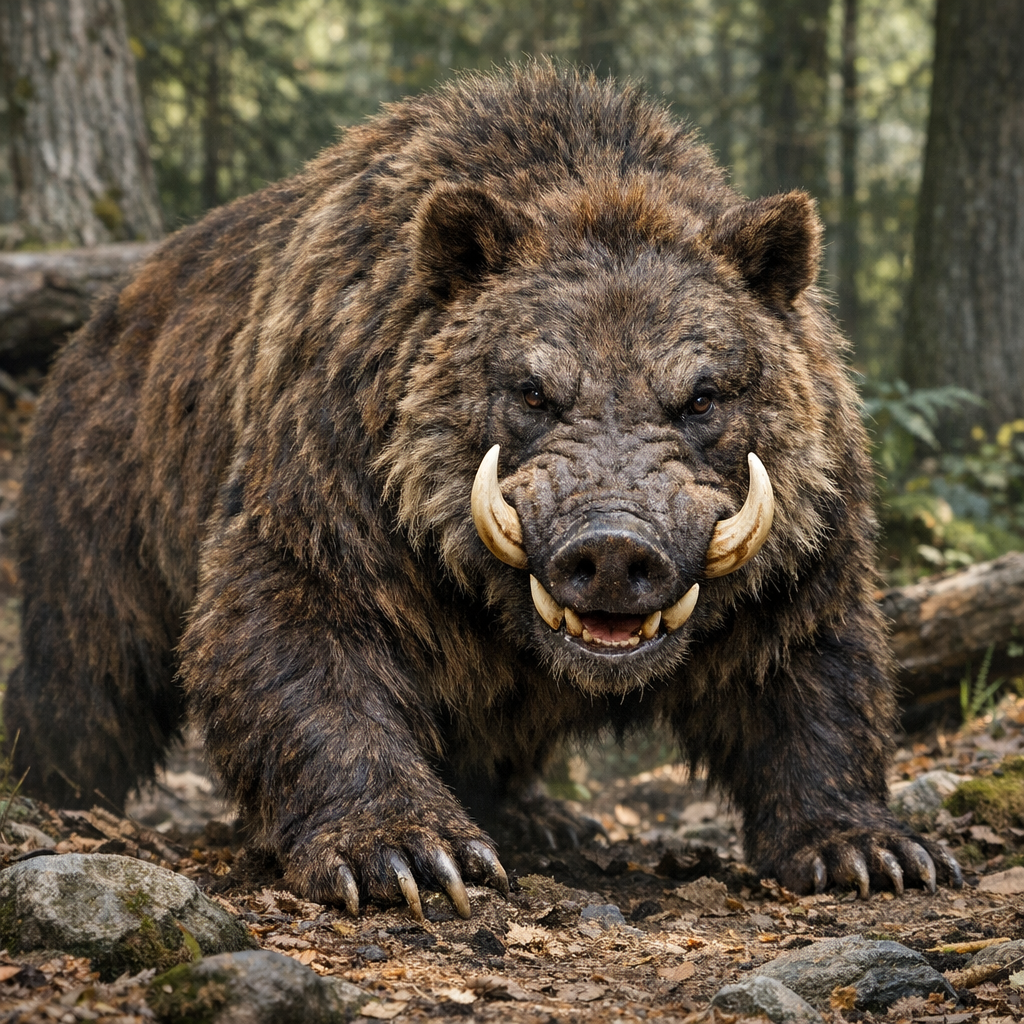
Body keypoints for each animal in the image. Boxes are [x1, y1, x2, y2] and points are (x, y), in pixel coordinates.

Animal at [3, 64, 961, 918]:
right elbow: (292, 640)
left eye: (702, 395)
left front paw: (872, 849)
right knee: (88, 678)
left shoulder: (805, 534)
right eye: (533, 389)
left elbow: (809, 663)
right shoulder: (338, 490)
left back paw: (549, 815)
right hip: (102, 506)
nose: (613, 549)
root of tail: (91, 324)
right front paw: (406, 853)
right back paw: (47, 783)